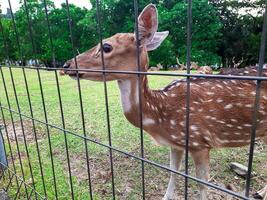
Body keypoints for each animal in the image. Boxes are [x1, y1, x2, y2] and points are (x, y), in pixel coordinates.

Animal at [60, 3, 267, 199]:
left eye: (106, 47)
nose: (66, 64)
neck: (160, 115)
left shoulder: (199, 141)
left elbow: (202, 184)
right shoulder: (176, 143)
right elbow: (173, 172)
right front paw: (166, 196)